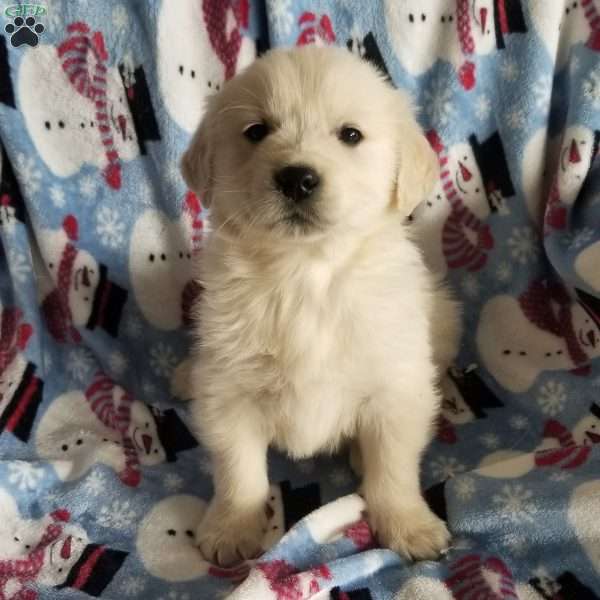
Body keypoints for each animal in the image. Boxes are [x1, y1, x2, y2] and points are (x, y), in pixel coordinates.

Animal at [176, 47, 462, 568]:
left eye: (350, 135)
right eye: (256, 131)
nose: (297, 178)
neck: (306, 275)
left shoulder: (394, 386)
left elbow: (394, 466)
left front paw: (408, 525)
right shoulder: (228, 390)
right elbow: (238, 469)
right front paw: (231, 526)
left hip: (444, 318)